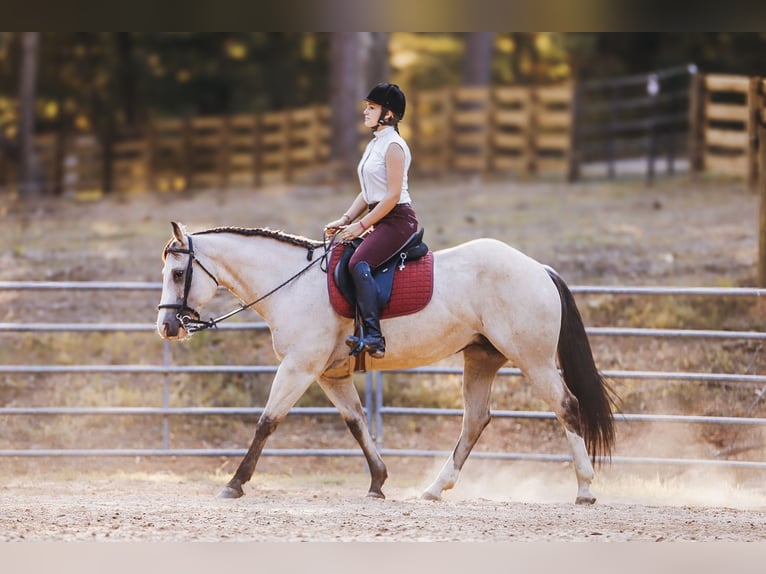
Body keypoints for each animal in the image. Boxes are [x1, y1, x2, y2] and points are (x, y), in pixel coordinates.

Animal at [158, 220, 616, 504]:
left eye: (179, 274)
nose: (167, 326)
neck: (291, 284)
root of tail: (538, 269)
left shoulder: (299, 367)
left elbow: (267, 422)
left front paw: (234, 484)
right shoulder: (329, 375)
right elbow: (357, 422)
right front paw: (378, 482)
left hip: (533, 360)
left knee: (567, 408)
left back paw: (585, 489)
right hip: (481, 359)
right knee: (474, 421)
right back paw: (434, 489)